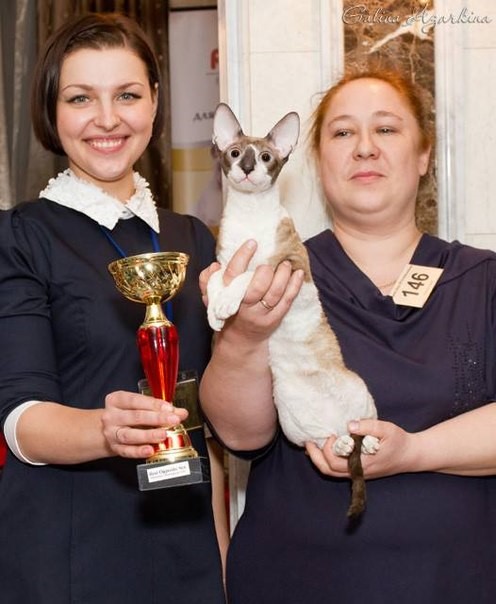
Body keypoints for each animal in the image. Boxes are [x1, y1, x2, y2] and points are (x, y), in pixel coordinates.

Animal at [207, 102, 379, 519]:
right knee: (323, 438)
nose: (247, 168)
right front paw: (215, 310)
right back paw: (342, 444)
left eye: (266, 157)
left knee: (363, 425)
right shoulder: (222, 261)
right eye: (235, 153)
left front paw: (226, 303)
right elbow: (217, 278)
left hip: (360, 390)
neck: (251, 216)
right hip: (290, 416)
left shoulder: (288, 266)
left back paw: (367, 443)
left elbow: (250, 275)